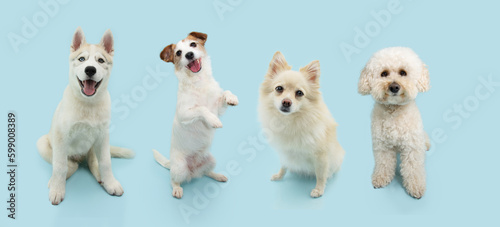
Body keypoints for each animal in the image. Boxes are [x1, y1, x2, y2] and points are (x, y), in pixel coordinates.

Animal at [36, 27, 134, 206]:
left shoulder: (103, 137)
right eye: (82, 59)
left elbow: (106, 162)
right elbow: (60, 166)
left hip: (94, 147)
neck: (88, 104)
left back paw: (101, 178)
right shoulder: (61, 137)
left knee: (93, 162)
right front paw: (57, 188)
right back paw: (55, 179)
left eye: (100, 61)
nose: (90, 70)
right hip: (42, 143)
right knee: (70, 165)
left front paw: (110, 182)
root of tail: (79, 157)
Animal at [152, 31, 238, 199]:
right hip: (179, 168)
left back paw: (217, 175)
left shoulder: (218, 107)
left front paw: (231, 98)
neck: (199, 81)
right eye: (178, 53)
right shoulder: (184, 113)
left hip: (210, 160)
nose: (189, 54)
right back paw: (177, 189)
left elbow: (225, 93)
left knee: (206, 173)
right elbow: (201, 109)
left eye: (193, 44)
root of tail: (193, 171)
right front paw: (213, 120)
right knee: (173, 180)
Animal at [258, 51, 344, 197]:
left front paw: (319, 189)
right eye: (279, 89)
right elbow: (284, 165)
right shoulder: (285, 151)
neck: (290, 121)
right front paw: (279, 176)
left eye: (299, 93)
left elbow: (321, 174)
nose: (286, 102)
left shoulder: (321, 156)